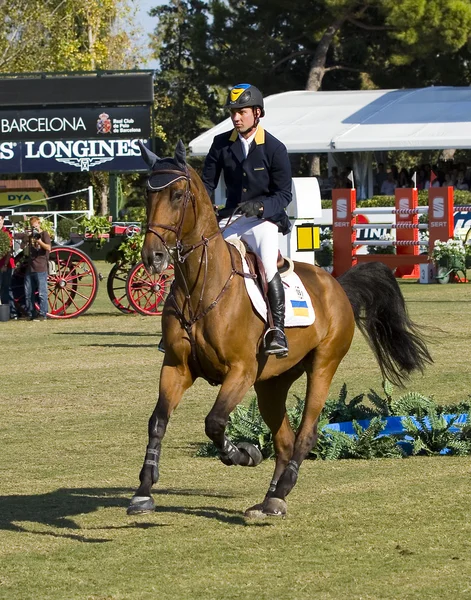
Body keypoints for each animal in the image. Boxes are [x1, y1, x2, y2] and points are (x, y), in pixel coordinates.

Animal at [127, 143, 434, 516]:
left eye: (177, 194)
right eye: (148, 194)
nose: (153, 257)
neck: (200, 286)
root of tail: (336, 285)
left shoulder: (240, 371)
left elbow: (214, 423)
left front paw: (244, 453)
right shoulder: (176, 366)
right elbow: (157, 421)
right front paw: (143, 490)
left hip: (322, 366)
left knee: (306, 432)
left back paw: (281, 491)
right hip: (271, 383)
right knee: (284, 438)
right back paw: (271, 496)